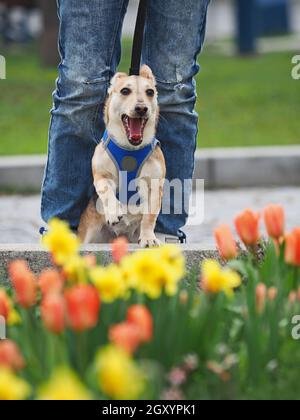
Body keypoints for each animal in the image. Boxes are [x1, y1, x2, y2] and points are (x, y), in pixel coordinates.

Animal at [78, 64, 165, 244]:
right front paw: (114, 212)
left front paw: (148, 239)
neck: (130, 148)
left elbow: (149, 216)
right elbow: (107, 193)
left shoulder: (154, 185)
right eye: (125, 91)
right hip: (90, 232)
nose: (141, 108)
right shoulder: (102, 176)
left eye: (150, 92)